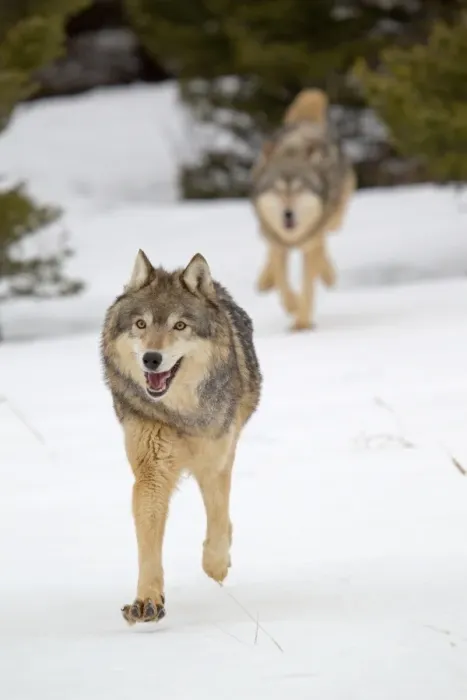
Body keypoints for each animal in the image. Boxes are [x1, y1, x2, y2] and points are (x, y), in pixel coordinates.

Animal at [100, 250, 262, 625]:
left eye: (179, 326)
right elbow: (148, 542)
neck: (180, 413)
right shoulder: (151, 472)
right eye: (141, 325)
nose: (152, 358)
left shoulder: (214, 461)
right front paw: (146, 600)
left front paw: (216, 566)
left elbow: (217, 519)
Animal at [250, 88, 356, 331]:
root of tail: (305, 123)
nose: (288, 214)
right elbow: (283, 285)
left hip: (333, 219)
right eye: (279, 190)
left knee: (324, 240)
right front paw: (293, 307)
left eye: (299, 190)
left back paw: (328, 275)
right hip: (269, 230)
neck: (292, 151)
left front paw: (302, 323)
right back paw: (265, 281)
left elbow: (308, 285)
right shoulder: (279, 243)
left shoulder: (310, 243)